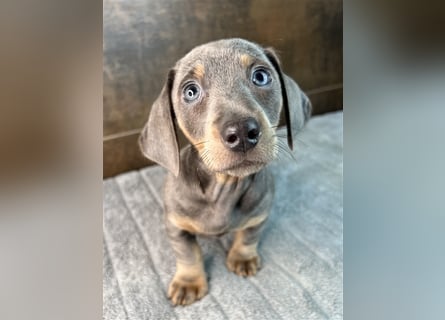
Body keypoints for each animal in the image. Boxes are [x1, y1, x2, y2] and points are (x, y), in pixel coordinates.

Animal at [140, 38, 310, 306]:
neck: (225, 186)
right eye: (190, 91)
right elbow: (188, 253)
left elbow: (249, 236)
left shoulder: (260, 212)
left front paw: (243, 257)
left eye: (261, 76)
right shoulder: (176, 226)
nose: (241, 132)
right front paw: (189, 281)